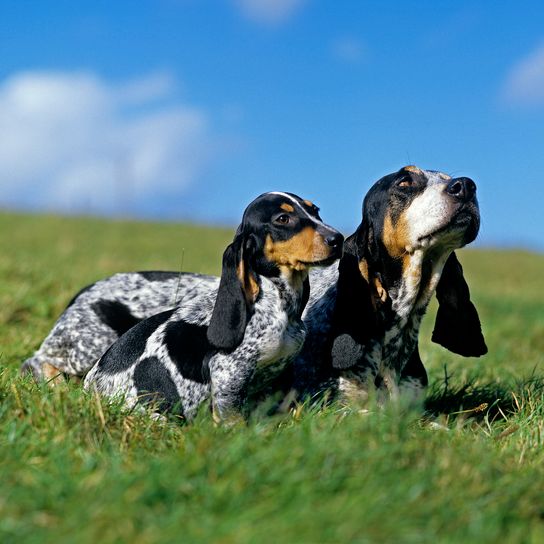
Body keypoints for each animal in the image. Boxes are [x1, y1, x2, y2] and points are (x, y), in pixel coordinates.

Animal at [82, 193, 342, 422]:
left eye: (315, 211)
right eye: (283, 219)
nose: (337, 239)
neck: (276, 301)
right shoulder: (229, 375)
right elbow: (233, 420)